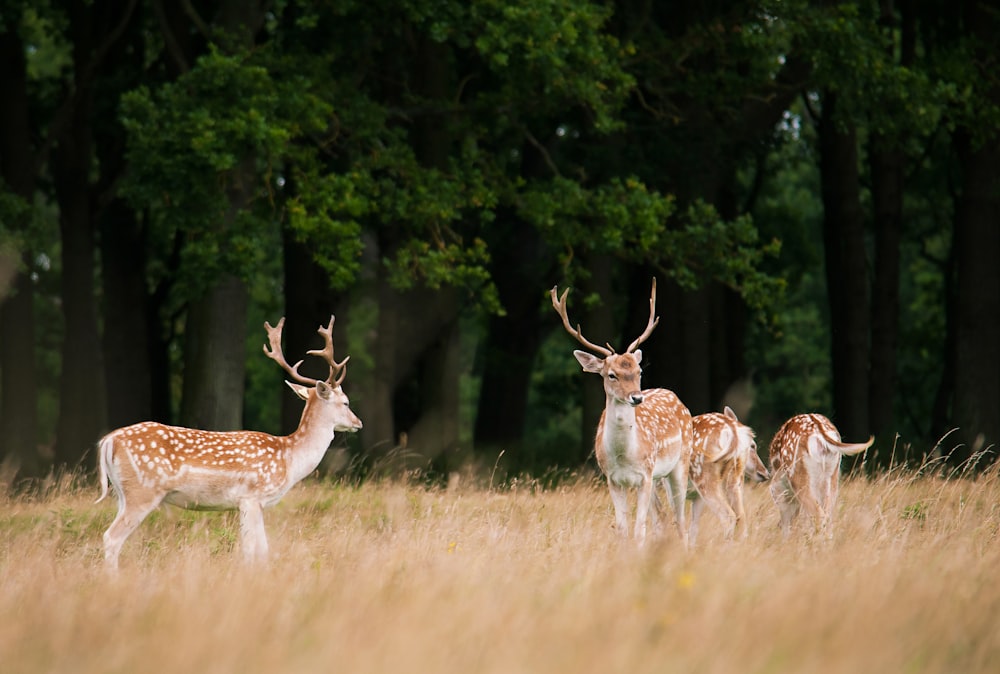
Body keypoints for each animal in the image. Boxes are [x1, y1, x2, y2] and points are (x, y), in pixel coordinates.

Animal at [95, 316, 362, 568]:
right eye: (346, 402)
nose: (358, 423)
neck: (289, 458)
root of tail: (109, 440)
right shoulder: (251, 497)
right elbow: (255, 551)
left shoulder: (249, 504)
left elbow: (257, 550)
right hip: (142, 491)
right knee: (111, 537)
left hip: (122, 493)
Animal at [552, 276, 692, 544]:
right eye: (612, 374)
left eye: (639, 371)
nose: (637, 397)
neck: (624, 455)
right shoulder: (612, 479)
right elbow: (622, 528)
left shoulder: (644, 475)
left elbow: (639, 529)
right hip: (658, 477)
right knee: (662, 518)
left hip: (680, 463)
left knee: (680, 518)